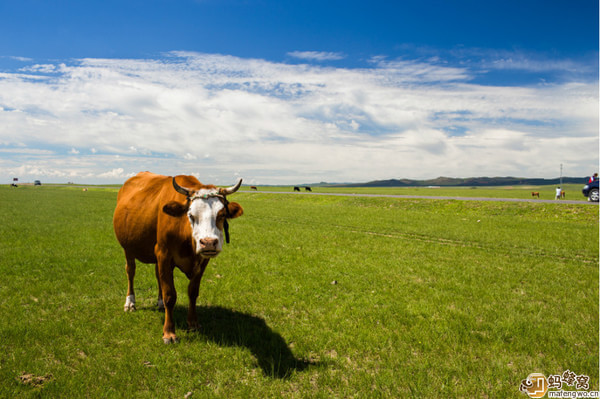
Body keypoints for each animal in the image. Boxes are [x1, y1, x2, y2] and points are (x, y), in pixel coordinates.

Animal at [112, 172, 244, 344]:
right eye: (191, 215)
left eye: (221, 215)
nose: (208, 242)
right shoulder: (164, 254)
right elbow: (170, 295)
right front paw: (169, 333)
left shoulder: (202, 261)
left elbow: (192, 292)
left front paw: (193, 323)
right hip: (128, 248)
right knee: (130, 272)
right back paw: (130, 302)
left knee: (157, 275)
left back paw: (159, 303)